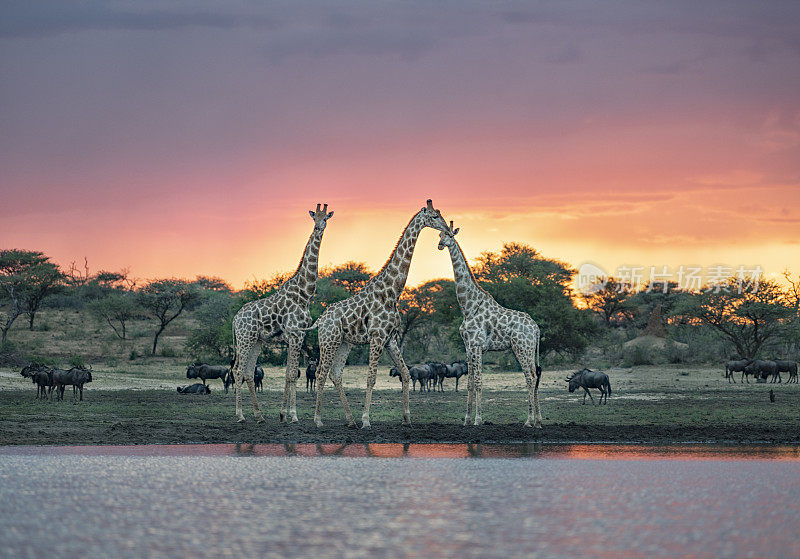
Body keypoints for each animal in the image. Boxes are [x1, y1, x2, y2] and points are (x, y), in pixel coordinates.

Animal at [230, 203, 332, 422]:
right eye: (314, 217)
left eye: (326, 218)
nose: (319, 227)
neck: (305, 293)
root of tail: (235, 319)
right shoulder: (295, 334)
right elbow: (292, 374)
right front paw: (293, 415)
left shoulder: (298, 336)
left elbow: (289, 373)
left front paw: (283, 414)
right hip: (245, 338)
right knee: (237, 369)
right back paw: (240, 415)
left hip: (257, 341)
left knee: (248, 372)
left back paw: (259, 415)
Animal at [310, 201, 450, 428]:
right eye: (435, 216)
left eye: (440, 214)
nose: (448, 230)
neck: (392, 292)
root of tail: (320, 320)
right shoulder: (377, 337)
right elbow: (371, 378)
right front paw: (366, 420)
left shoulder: (390, 339)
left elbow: (405, 373)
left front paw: (407, 418)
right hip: (328, 341)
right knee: (320, 372)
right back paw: (319, 420)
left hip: (343, 343)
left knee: (336, 373)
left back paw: (350, 420)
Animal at [438, 221, 544, 426]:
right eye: (440, 234)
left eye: (450, 234)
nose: (440, 245)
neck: (468, 305)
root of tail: (536, 328)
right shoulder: (468, 346)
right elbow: (470, 383)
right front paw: (466, 420)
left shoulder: (477, 345)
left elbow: (479, 381)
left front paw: (478, 419)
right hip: (527, 348)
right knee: (534, 376)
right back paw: (538, 421)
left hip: (521, 347)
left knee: (530, 377)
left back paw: (529, 421)